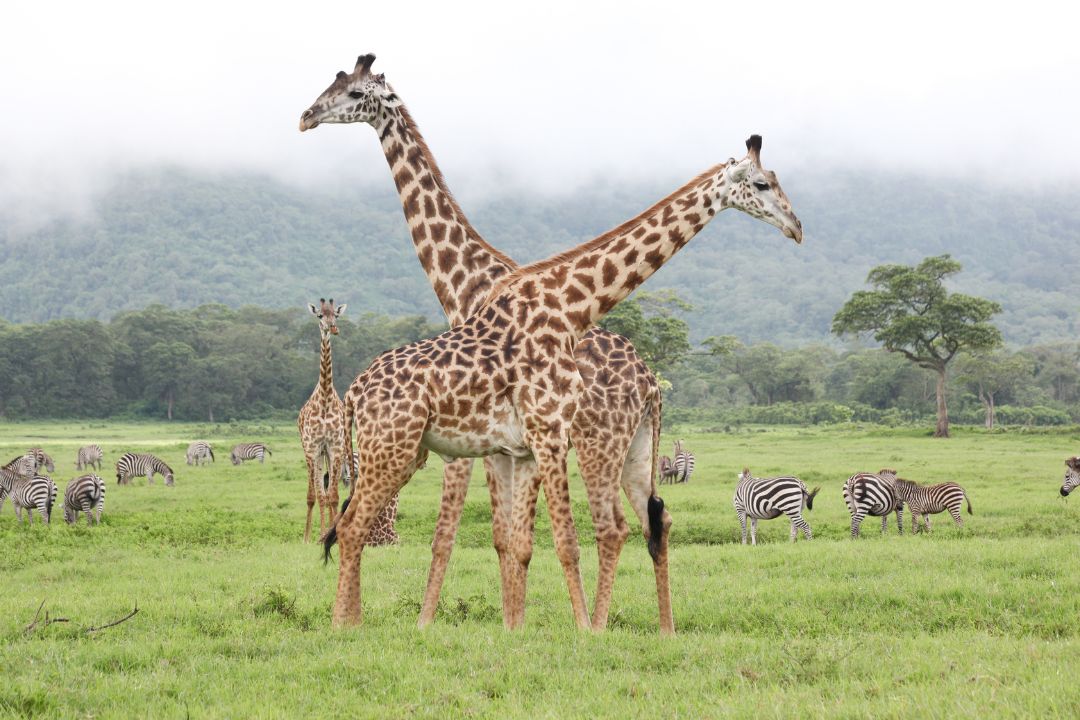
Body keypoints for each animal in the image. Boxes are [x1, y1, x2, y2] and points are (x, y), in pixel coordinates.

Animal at [304, 66, 803, 630]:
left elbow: (505, 540)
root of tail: (651, 384)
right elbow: (500, 540)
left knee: (623, 526)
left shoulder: (511, 444)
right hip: (603, 450)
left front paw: (504, 625)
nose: (796, 226)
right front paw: (509, 625)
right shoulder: (509, 444)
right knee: (648, 522)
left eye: (349, 91)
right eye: (762, 183)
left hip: (598, 446)